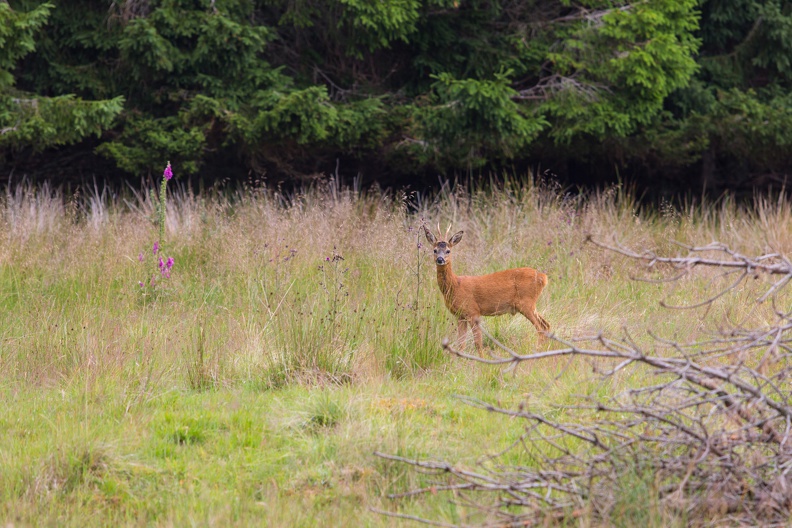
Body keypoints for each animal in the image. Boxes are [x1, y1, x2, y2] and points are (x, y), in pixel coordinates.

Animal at [420, 224, 552, 354]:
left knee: (541, 327)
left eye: (448, 250)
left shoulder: (473, 311)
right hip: (530, 305)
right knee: (546, 325)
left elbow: (478, 342)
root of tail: (543, 277)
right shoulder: (460, 315)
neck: (455, 285)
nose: (440, 259)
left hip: (526, 302)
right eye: (435, 250)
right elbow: (461, 344)